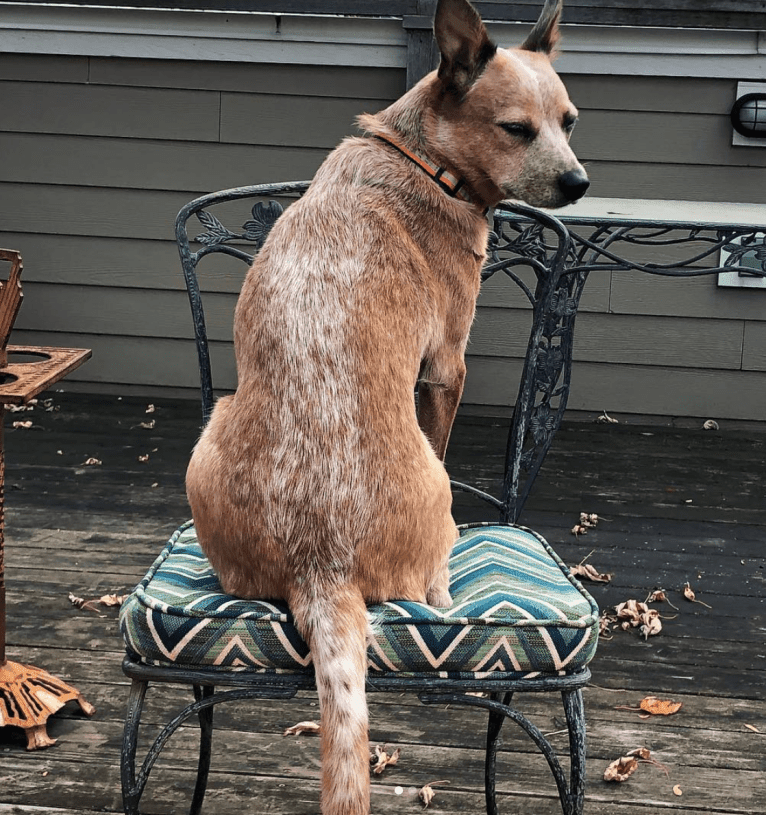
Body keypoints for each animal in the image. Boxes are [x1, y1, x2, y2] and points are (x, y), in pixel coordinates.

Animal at [184, 3, 588, 812]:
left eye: (569, 121)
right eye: (517, 128)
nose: (579, 181)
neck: (421, 158)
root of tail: (321, 562)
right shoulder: (446, 365)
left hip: (210, 434)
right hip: (431, 500)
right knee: (436, 573)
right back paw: (445, 581)